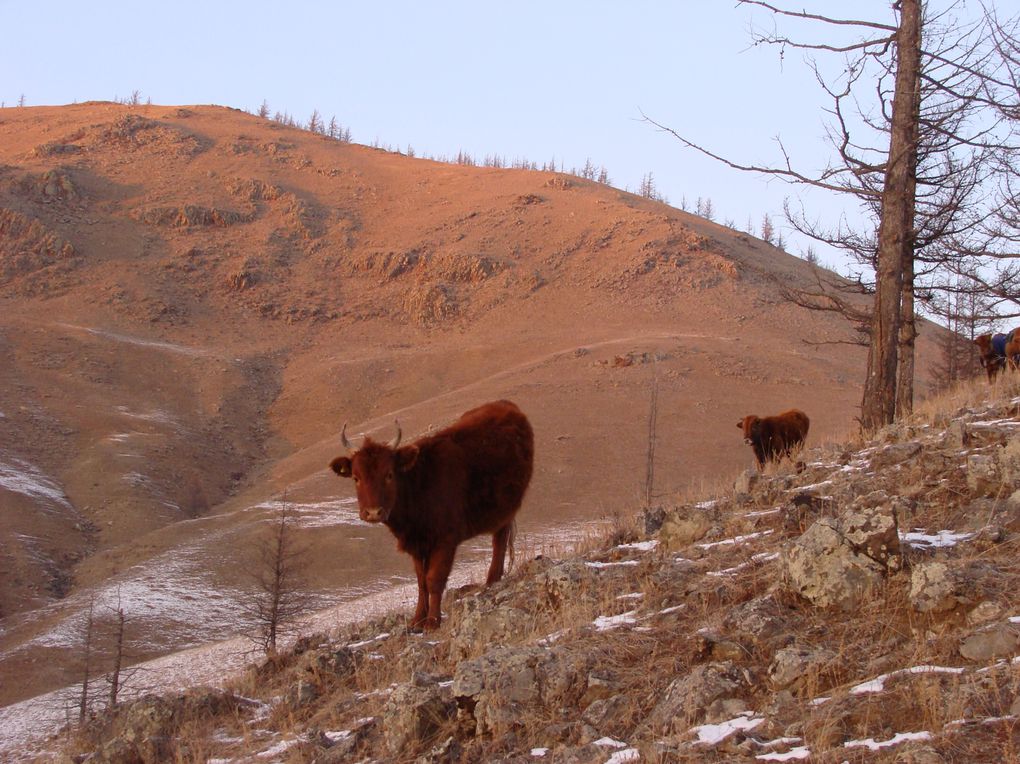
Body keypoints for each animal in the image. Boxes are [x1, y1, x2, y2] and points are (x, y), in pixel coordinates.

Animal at [328, 399, 538, 632]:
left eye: (389, 474)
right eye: (356, 478)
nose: (373, 512)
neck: (419, 487)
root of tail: (505, 405)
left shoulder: (445, 540)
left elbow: (434, 579)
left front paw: (432, 622)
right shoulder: (417, 544)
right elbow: (421, 581)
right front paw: (417, 619)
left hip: (506, 509)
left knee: (499, 542)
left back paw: (492, 580)